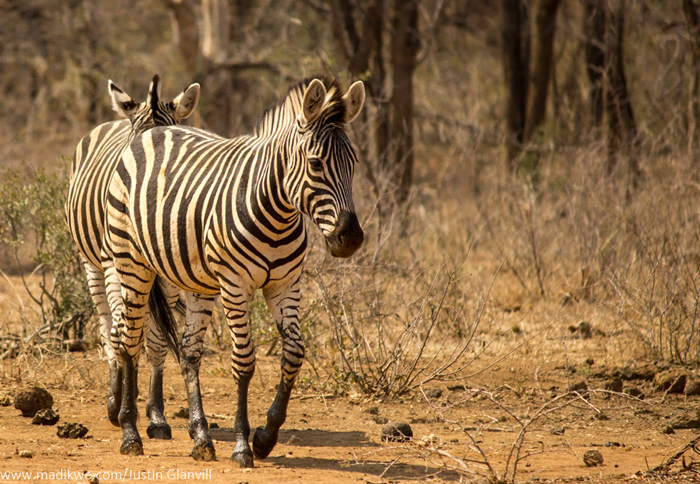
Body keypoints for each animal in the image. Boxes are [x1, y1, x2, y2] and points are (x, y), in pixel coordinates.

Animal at [65, 74, 200, 438]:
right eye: (134, 149)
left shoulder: (167, 277)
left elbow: (155, 342)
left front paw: (156, 415)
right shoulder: (114, 264)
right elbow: (120, 333)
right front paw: (119, 405)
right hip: (92, 265)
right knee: (107, 325)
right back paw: (117, 395)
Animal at [104, 73, 366, 464]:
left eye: (354, 163)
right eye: (316, 164)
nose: (350, 238)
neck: (277, 211)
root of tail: (154, 130)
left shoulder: (285, 285)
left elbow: (294, 354)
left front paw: (266, 436)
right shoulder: (235, 284)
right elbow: (243, 362)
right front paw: (244, 444)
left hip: (195, 281)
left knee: (189, 352)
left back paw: (201, 437)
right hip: (131, 263)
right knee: (128, 339)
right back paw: (130, 432)